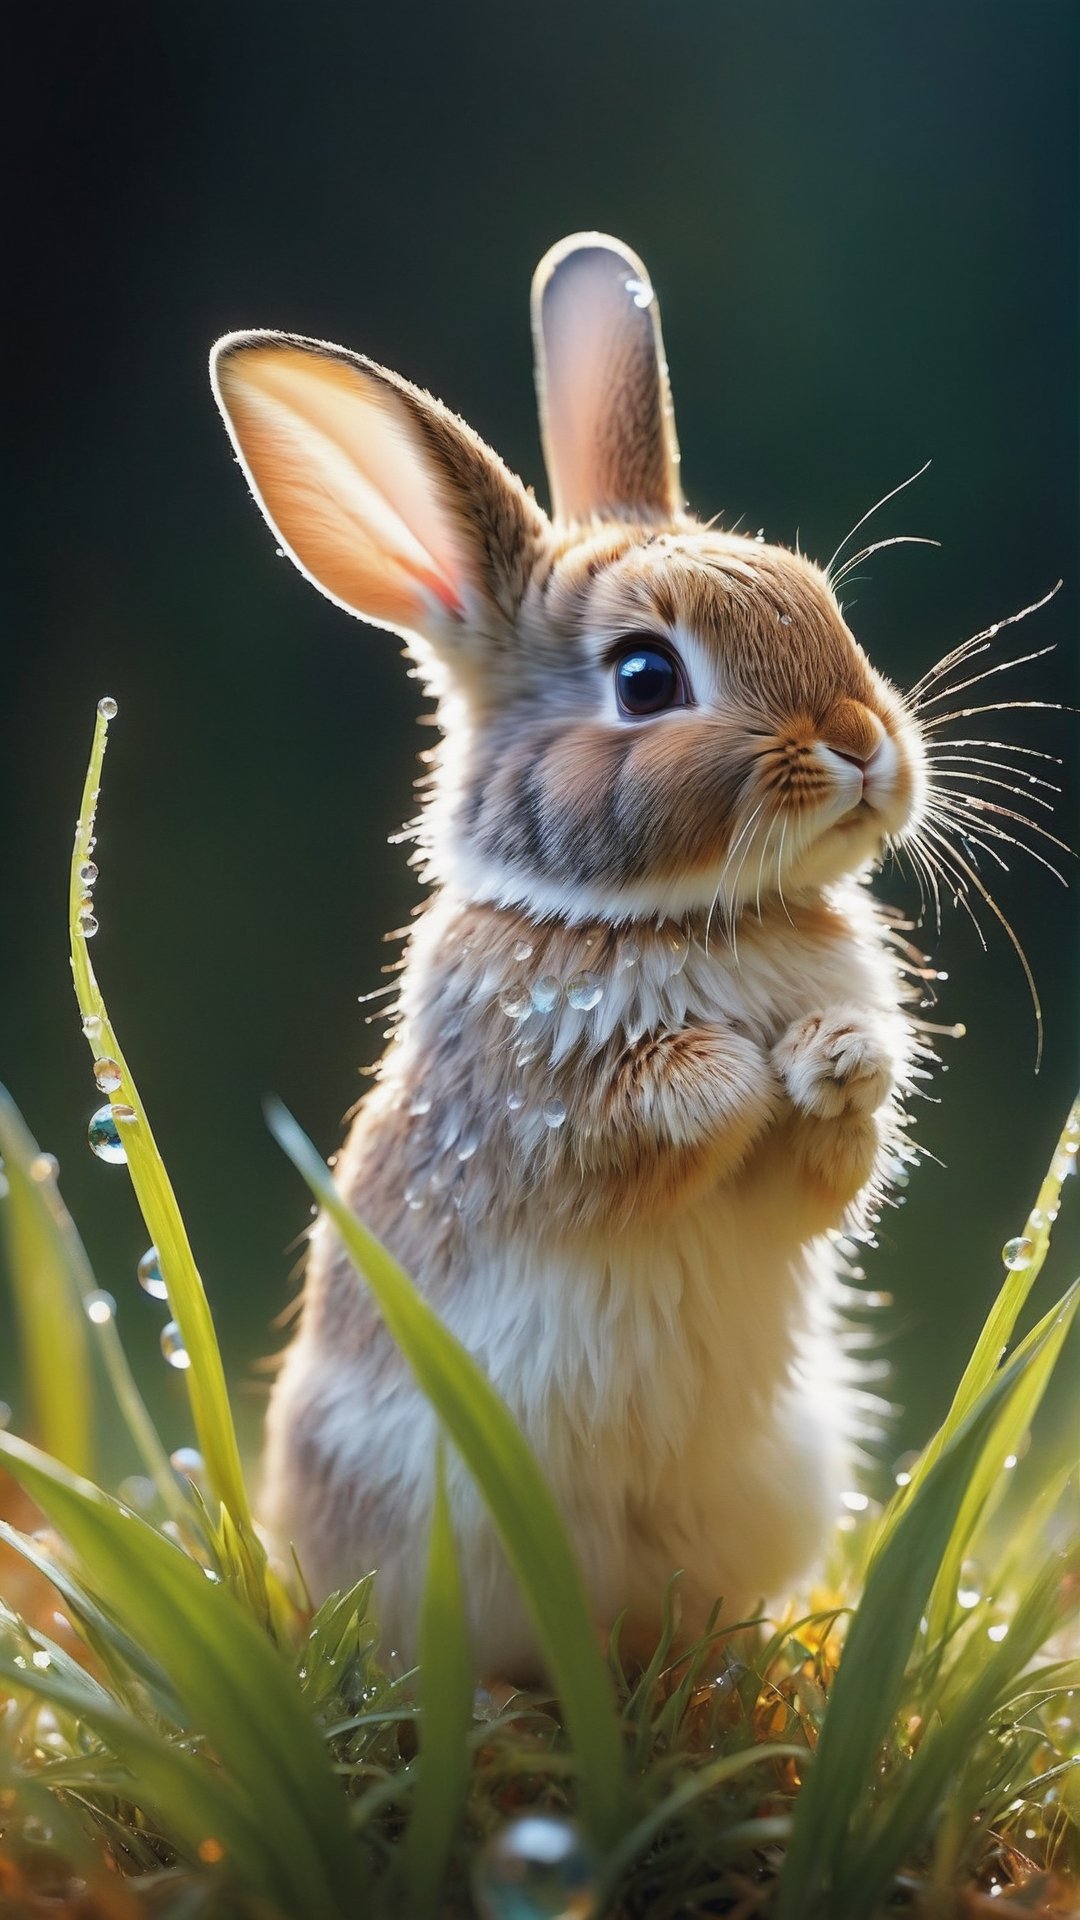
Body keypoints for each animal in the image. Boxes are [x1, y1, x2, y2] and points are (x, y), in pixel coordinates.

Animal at [210, 228, 926, 1681]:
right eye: (647, 678)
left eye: (824, 603)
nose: (862, 743)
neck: (678, 914)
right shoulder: (529, 1118)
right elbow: (633, 1127)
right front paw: (737, 1071)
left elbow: (830, 1168)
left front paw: (835, 1057)